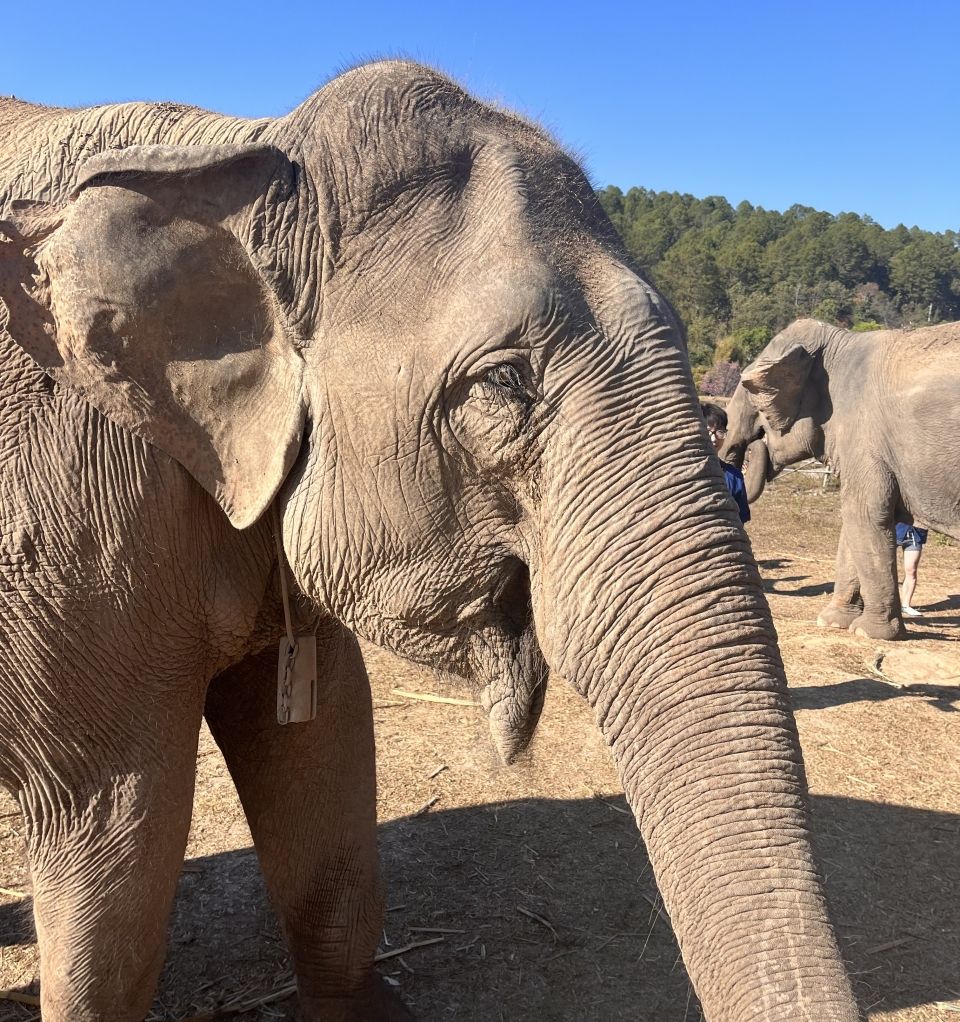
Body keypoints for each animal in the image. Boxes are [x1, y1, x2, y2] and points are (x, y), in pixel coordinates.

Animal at [723, 318, 960, 637]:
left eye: (755, 400)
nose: (756, 441)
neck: (840, 343)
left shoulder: (864, 435)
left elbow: (864, 514)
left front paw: (867, 632)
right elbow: (854, 522)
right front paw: (833, 620)